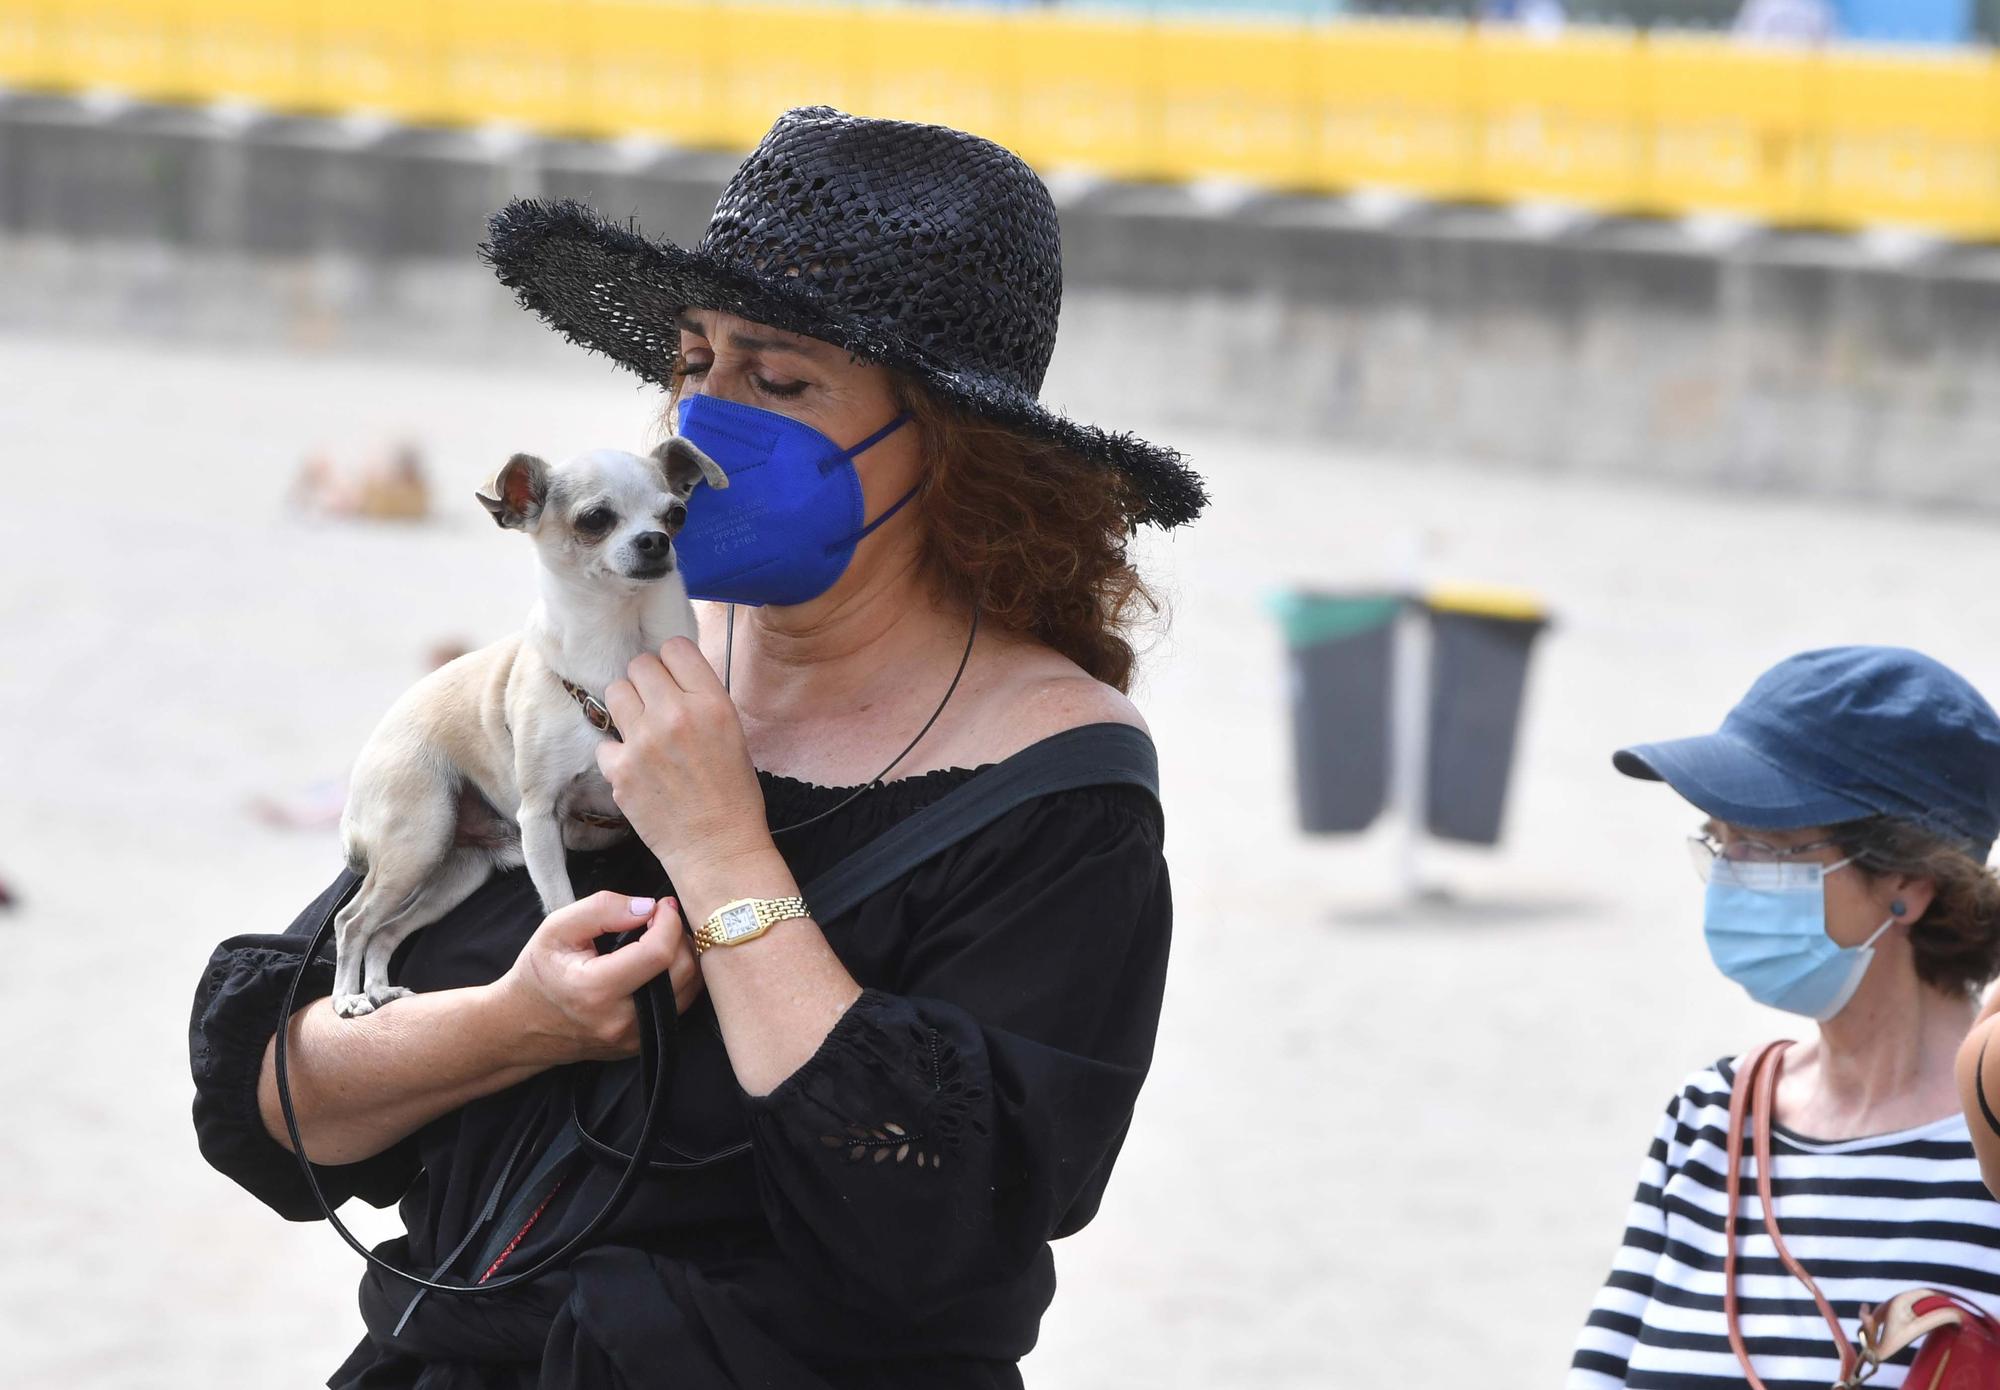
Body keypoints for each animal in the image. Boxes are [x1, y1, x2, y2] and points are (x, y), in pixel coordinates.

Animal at [328, 440, 728, 1016]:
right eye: (595, 519)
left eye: (676, 515)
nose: (655, 540)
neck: (620, 648)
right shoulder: (540, 818)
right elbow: (562, 906)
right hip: (417, 841)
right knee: (352, 921)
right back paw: (347, 999)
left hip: (455, 871)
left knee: (386, 930)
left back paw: (380, 988)